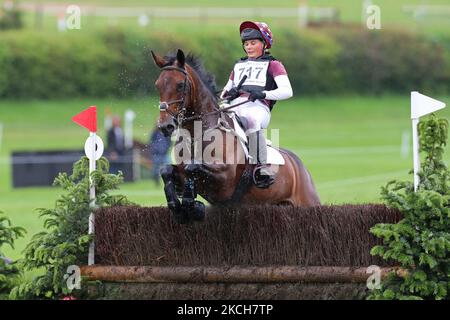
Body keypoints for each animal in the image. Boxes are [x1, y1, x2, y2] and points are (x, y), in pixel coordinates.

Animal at [151, 49, 320, 222]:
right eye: (158, 85)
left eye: (180, 85)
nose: (165, 126)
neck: (196, 134)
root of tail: (299, 165)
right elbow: (166, 170)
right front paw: (178, 206)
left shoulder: (225, 178)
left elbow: (193, 167)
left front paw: (189, 203)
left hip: (308, 202)